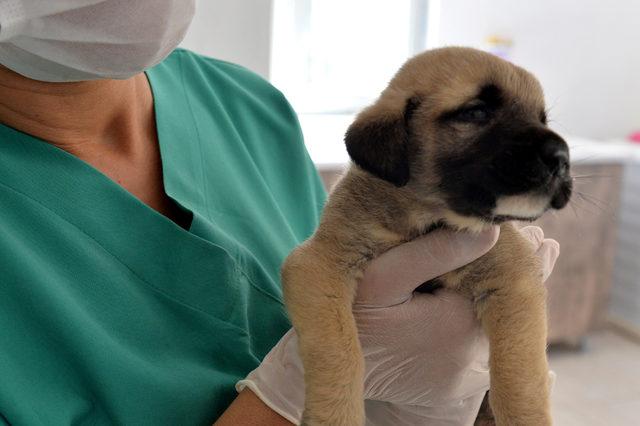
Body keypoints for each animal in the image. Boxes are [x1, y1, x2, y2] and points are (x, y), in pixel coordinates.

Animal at [282, 47, 572, 426]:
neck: (430, 219)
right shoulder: (319, 264)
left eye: (541, 119)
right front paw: (334, 414)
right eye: (476, 112)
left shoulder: (514, 276)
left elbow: (520, 378)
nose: (562, 158)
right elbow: (337, 348)